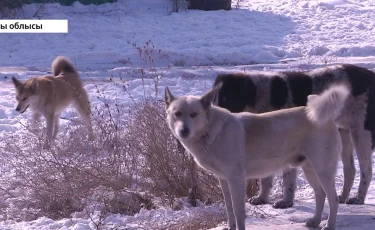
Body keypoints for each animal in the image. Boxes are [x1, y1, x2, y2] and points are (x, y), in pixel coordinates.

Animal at [164, 84, 350, 230]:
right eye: (177, 113)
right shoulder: (223, 180)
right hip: (310, 170)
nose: (183, 131)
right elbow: (229, 209)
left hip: (323, 171)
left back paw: (329, 225)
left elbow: (238, 211)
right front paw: (230, 227)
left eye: (194, 114)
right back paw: (315, 221)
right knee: (320, 195)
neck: (210, 132)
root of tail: (328, 119)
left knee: (333, 199)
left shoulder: (236, 180)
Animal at [214, 64, 375, 208]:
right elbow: (266, 177)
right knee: (350, 169)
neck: (263, 95)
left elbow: (287, 177)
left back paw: (359, 198)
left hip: (361, 133)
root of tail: (370, 75)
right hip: (343, 132)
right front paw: (262, 198)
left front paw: (286, 201)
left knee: (366, 169)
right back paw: (343, 196)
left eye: (227, 98)